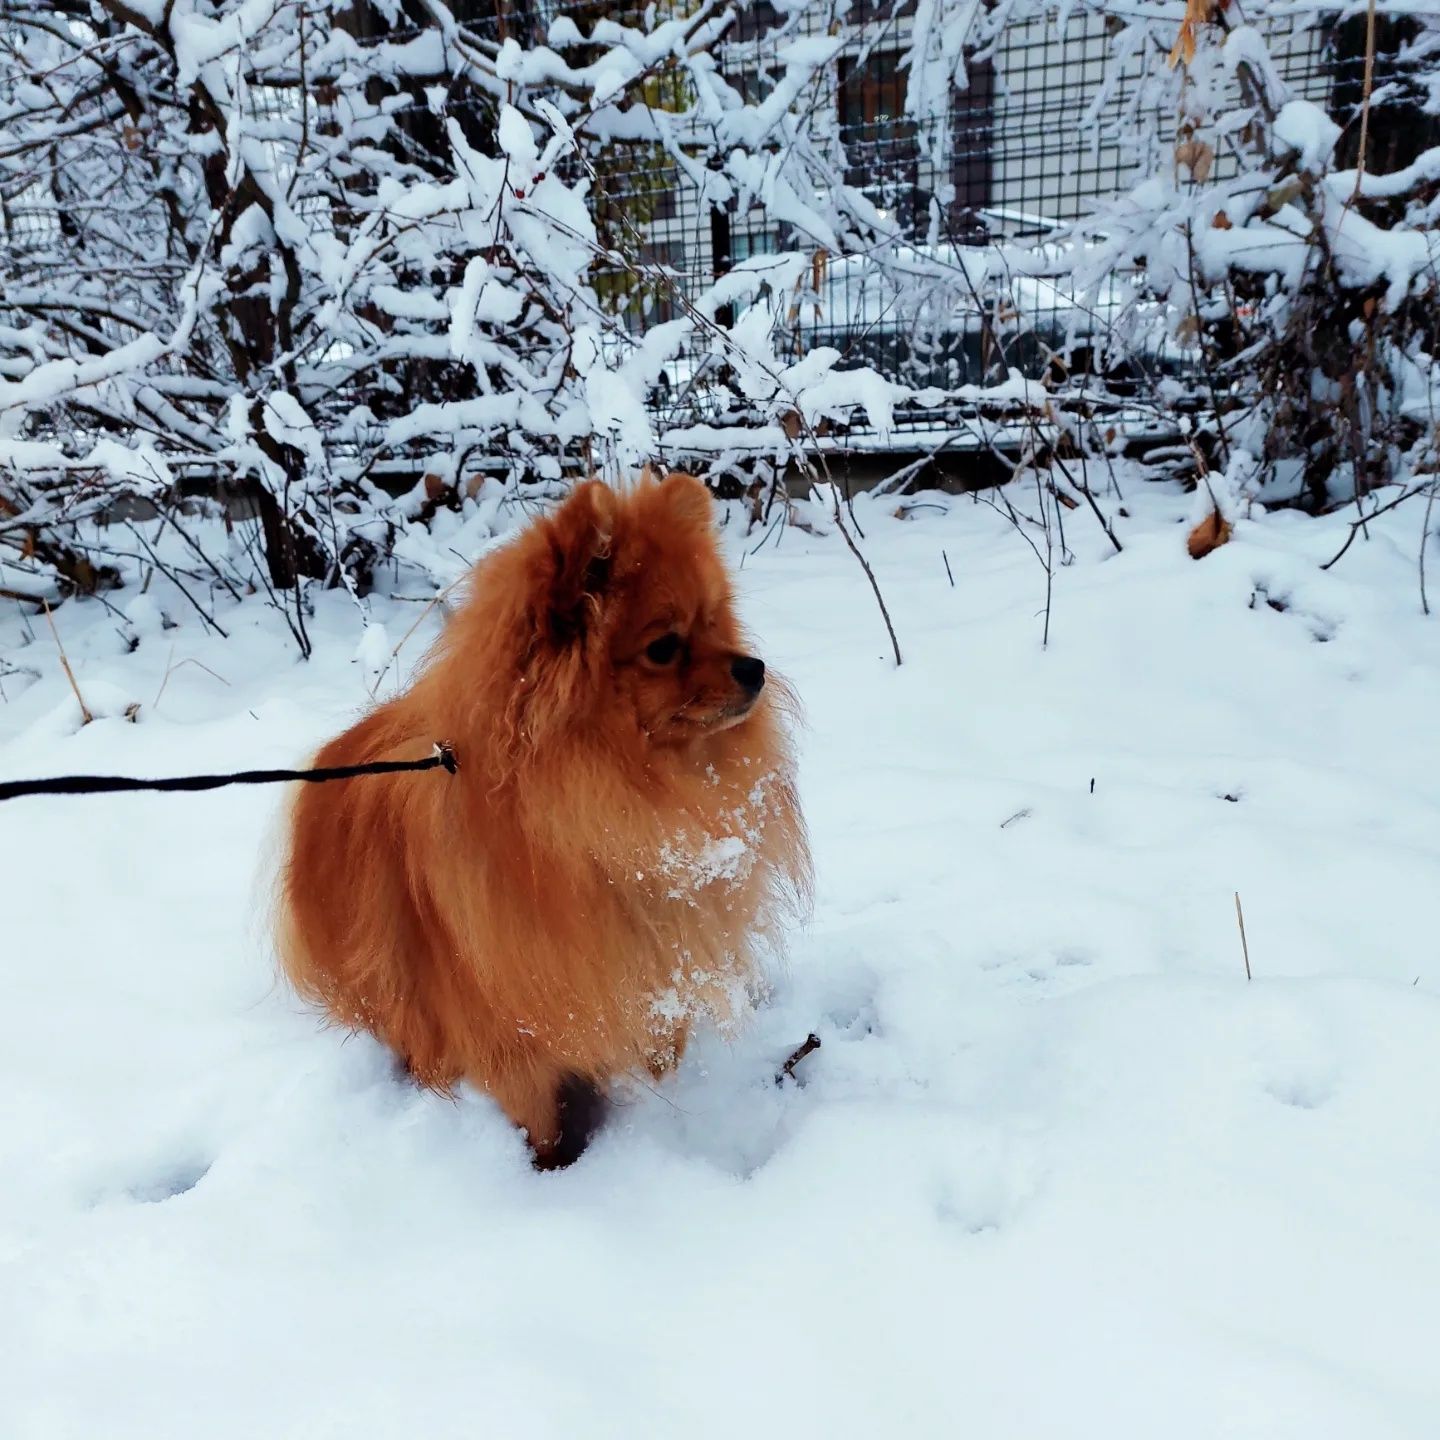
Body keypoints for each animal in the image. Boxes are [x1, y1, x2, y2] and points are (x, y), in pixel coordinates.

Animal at [272, 472, 812, 1169]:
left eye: (716, 623)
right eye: (664, 647)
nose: (753, 666)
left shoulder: (652, 977)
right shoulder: (510, 1032)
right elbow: (541, 1117)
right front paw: (553, 1171)